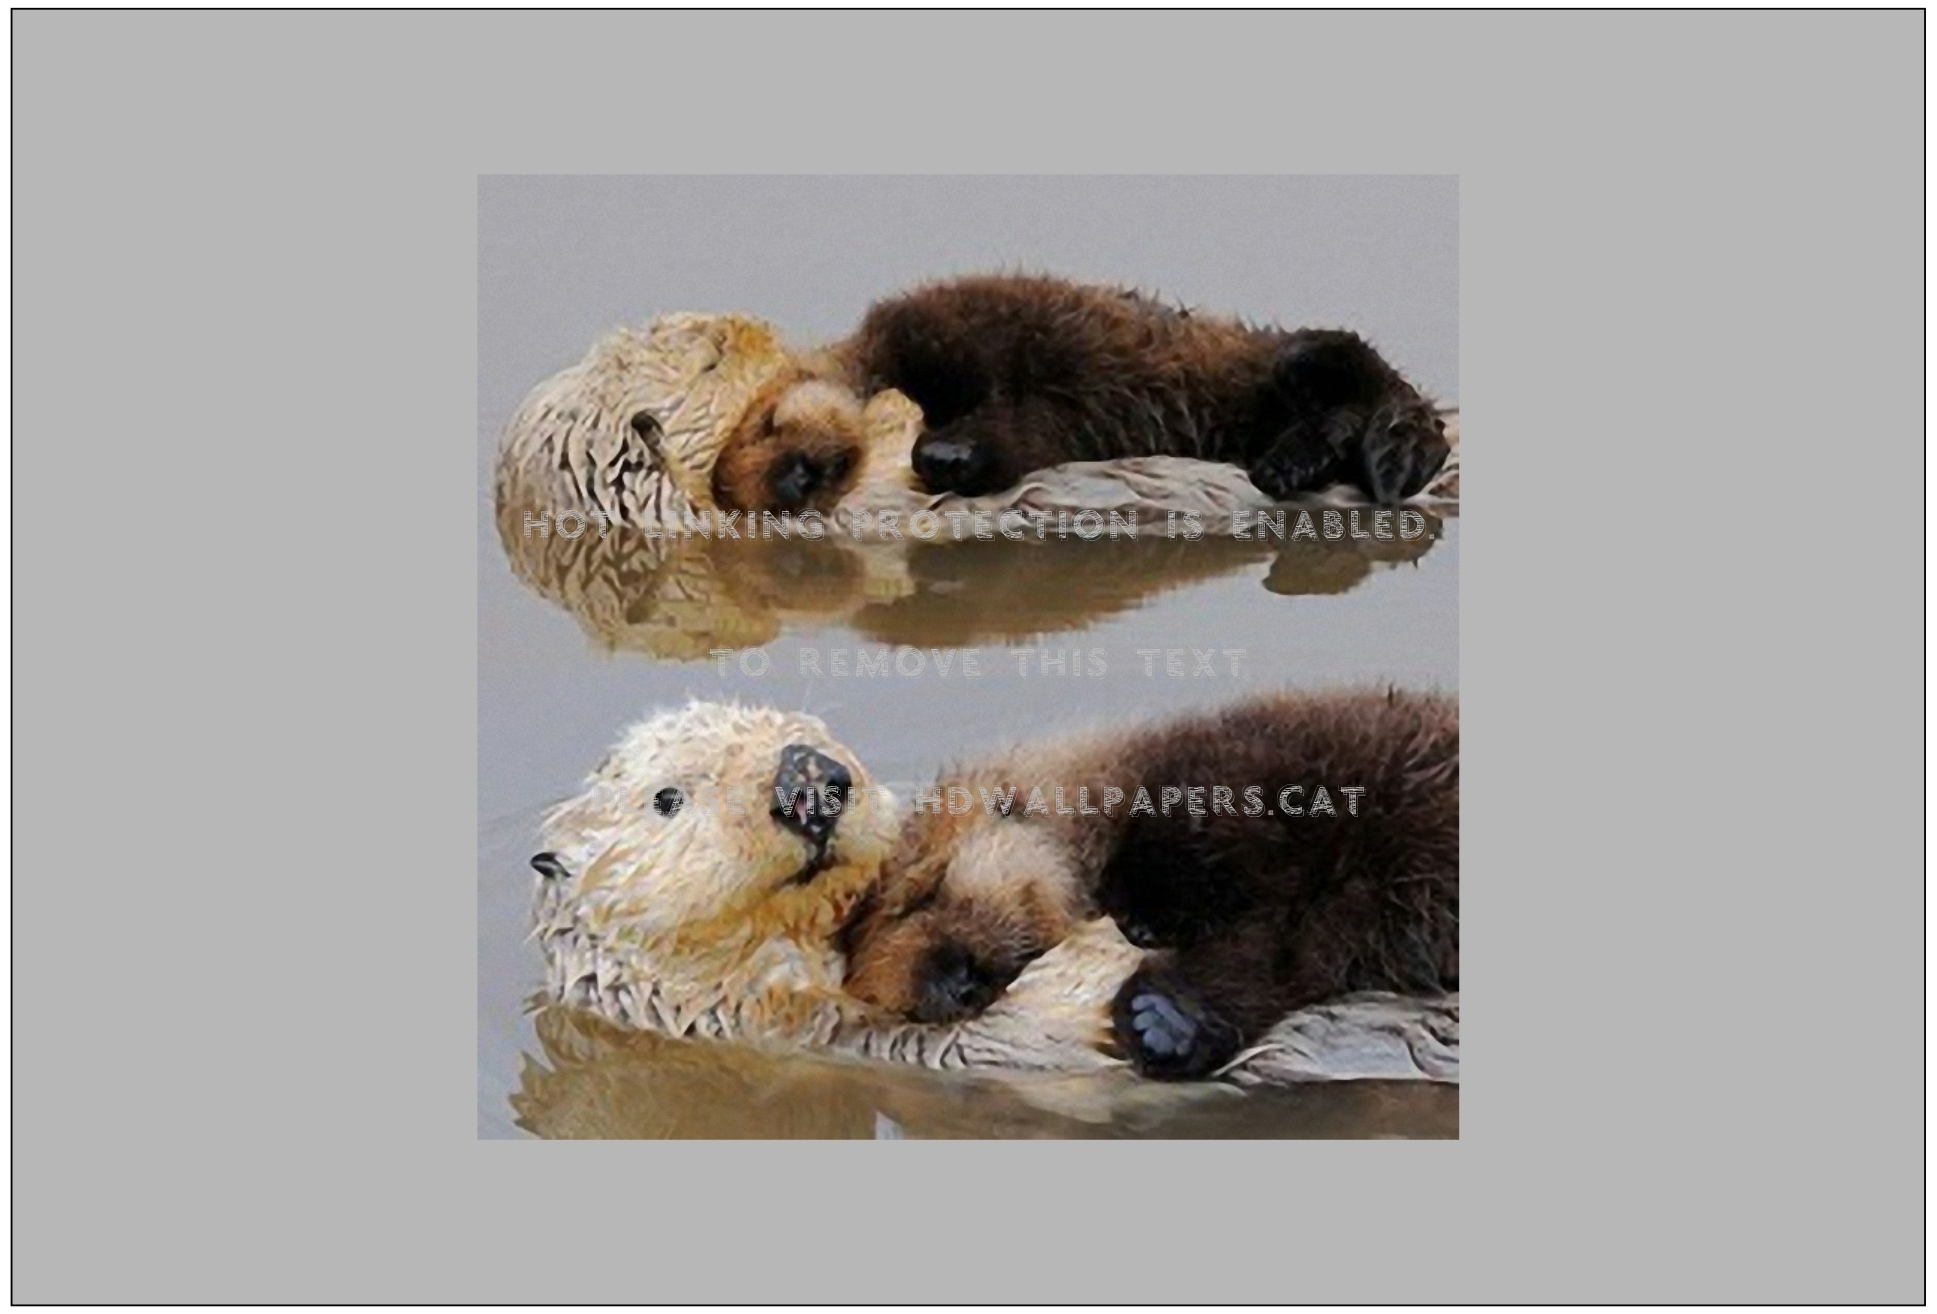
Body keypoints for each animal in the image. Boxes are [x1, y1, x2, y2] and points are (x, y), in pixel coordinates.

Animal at [839, 690, 1459, 1079]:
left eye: (924, 895)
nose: (952, 985)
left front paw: (1145, 916)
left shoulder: (1235, 773)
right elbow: (1272, 960)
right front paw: (1162, 1021)